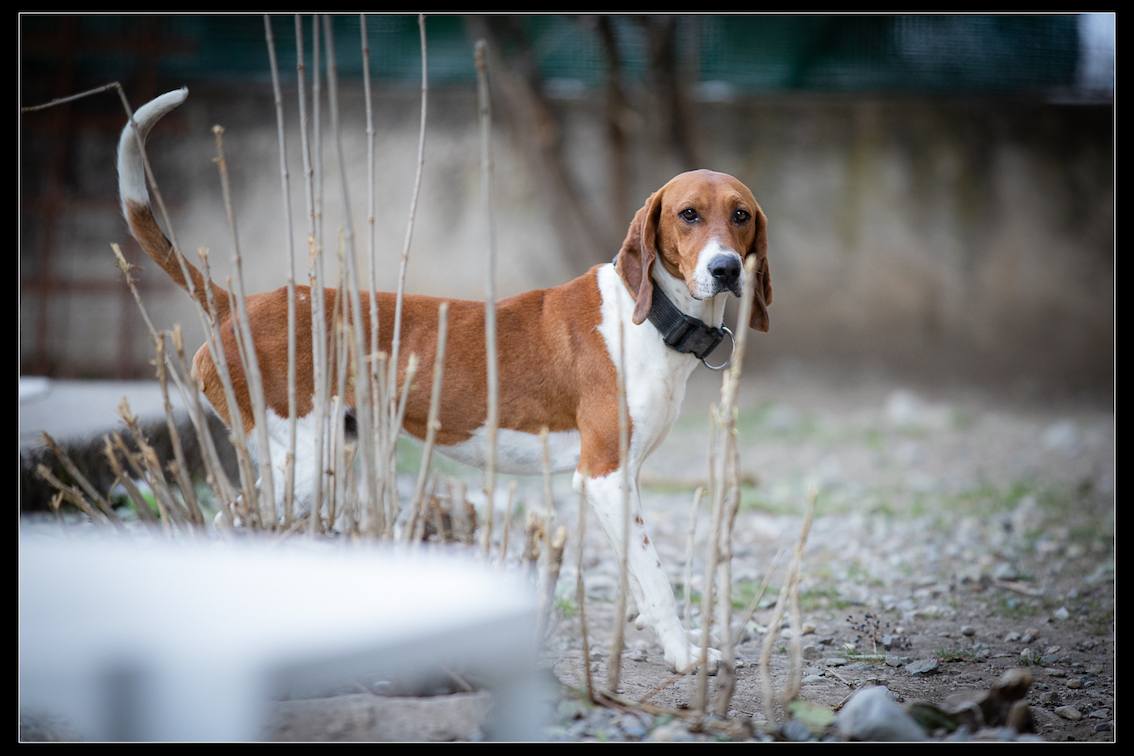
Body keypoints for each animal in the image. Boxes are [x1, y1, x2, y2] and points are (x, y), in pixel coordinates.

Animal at [117, 88, 771, 675]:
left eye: (740, 215)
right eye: (688, 214)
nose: (725, 269)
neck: (653, 314)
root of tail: (239, 303)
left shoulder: (622, 482)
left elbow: (639, 577)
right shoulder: (604, 476)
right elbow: (657, 579)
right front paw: (687, 657)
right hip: (298, 469)